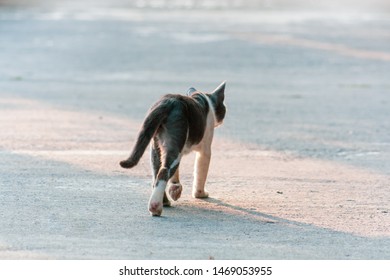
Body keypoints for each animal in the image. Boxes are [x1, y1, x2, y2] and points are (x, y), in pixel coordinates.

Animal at [120, 81, 227, 217]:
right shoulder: (205, 150)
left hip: (158, 147)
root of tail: (168, 102)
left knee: (156, 175)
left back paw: (164, 201)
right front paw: (200, 194)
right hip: (174, 145)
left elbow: (175, 175)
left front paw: (175, 187)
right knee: (164, 171)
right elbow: (200, 173)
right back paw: (155, 206)